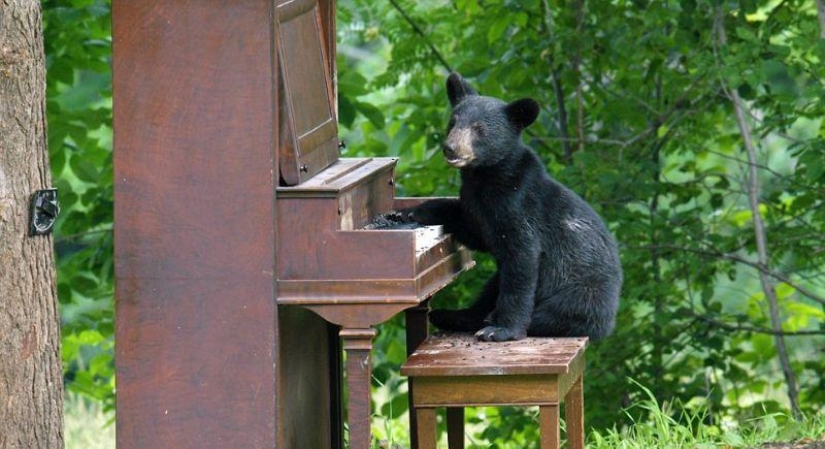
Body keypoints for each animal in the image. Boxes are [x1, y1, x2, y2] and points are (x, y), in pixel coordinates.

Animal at [401, 72, 622, 342]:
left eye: (479, 129)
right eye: (452, 122)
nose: (450, 148)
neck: (485, 178)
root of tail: (608, 323)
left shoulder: (519, 207)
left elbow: (522, 260)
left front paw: (501, 329)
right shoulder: (478, 207)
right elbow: (474, 230)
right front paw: (414, 211)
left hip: (581, 294)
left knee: (554, 312)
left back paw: (489, 319)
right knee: (490, 290)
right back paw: (451, 315)